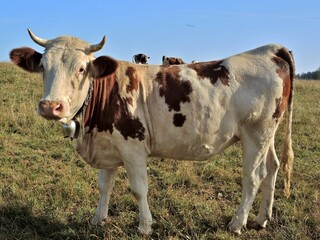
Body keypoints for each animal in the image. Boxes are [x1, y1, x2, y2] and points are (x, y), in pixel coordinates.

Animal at [10, 29, 296, 235]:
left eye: (81, 68)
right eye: (43, 67)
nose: (50, 106)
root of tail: (269, 50)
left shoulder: (133, 147)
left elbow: (138, 189)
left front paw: (144, 226)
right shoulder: (107, 144)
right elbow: (104, 186)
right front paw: (97, 219)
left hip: (256, 133)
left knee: (253, 177)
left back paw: (237, 223)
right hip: (267, 134)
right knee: (272, 167)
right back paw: (261, 219)